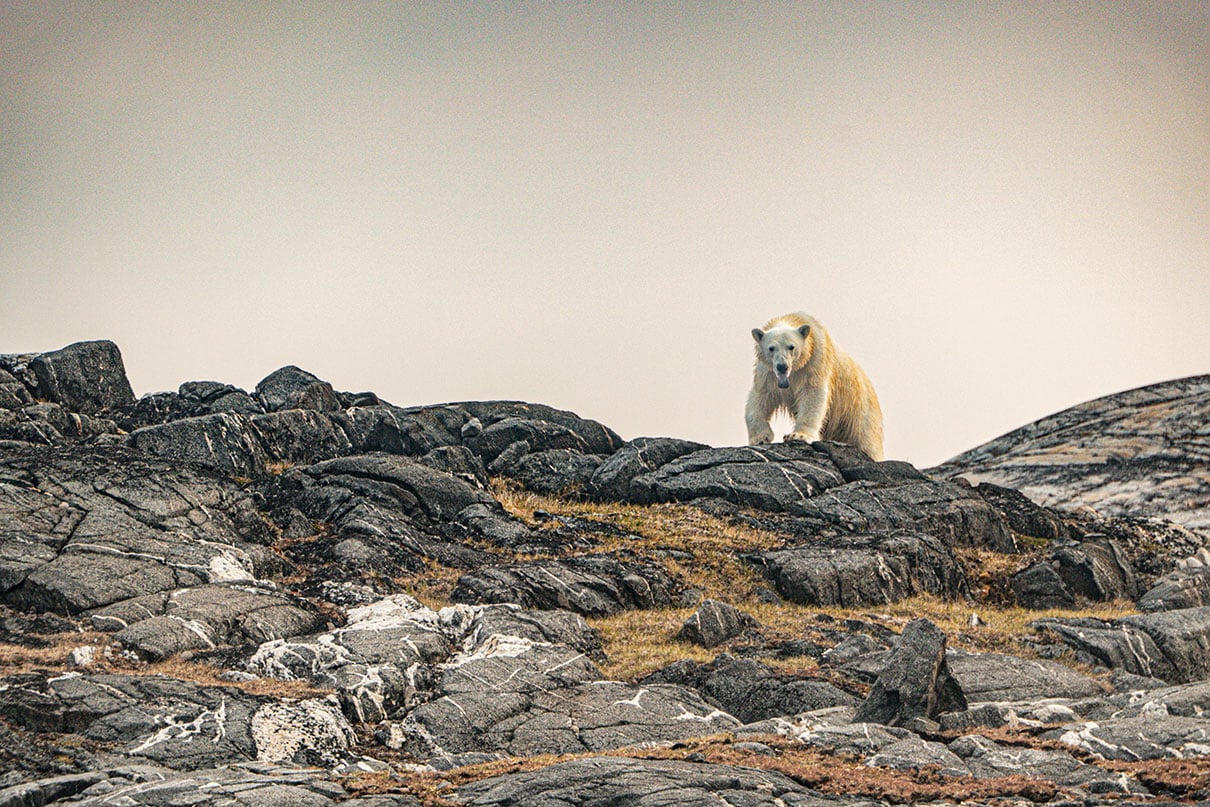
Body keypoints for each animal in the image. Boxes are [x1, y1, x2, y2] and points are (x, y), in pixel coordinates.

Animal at [740, 312, 885, 459]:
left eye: (791, 346)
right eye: (771, 348)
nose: (782, 366)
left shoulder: (815, 361)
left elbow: (813, 394)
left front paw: (798, 435)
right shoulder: (767, 372)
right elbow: (761, 396)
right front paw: (761, 438)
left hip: (859, 411)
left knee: (867, 441)